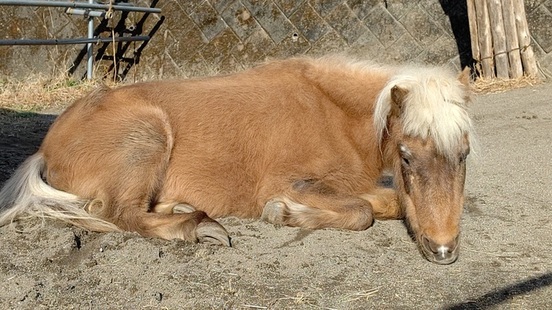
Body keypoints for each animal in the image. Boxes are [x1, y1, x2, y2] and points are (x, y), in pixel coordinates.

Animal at [0, 55, 474, 264]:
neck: (333, 113)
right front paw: (284, 214)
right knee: (115, 213)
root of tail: (47, 146)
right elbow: (362, 212)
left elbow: (387, 203)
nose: (444, 250)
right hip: (147, 135)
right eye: (406, 157)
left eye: (464, 154)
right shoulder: (294, 182)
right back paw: (198, 227)